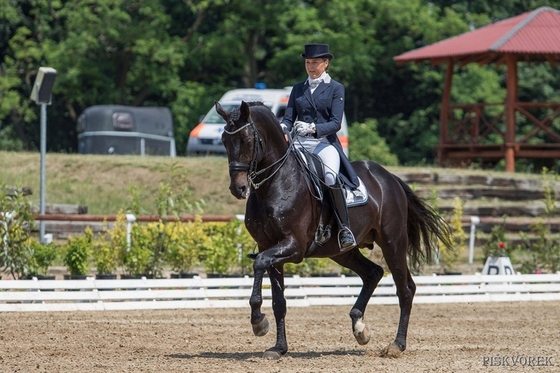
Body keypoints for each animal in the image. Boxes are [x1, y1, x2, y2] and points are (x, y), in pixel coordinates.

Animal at [217, 100, 452, 358]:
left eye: (247, 140)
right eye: (224, 140)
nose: (238, 188)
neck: (274, 184)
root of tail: (390, 178)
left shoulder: (293, 246)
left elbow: (259, 263)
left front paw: (258, 322)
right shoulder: (269, 247)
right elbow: (279, 302)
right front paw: (278, 348)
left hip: (393, 243)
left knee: (405, 289)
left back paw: (396, 345)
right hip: (341, 251)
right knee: (373, 273)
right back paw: (360, 328)